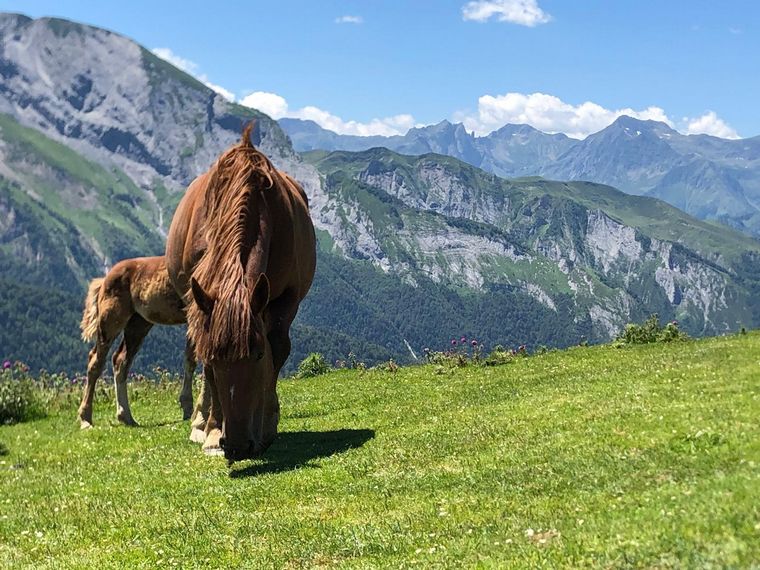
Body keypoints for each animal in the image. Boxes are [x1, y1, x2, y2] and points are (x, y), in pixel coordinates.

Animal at [76, 256, 196, 426]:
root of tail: (104, 280)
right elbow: (192, 358)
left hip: (138, 323)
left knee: (120, 360)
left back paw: (126, 416)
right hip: (111, 320)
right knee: (96, 361)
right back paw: (86, 418)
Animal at [166, 124, 318, 462]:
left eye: (257, 355)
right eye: (216, 359)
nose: (236, 445)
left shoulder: (286, 299)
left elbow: (279, 349)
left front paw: (268, 424)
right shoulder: (203, 301)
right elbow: (203, 359)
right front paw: (212, 432)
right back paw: (199, 421)